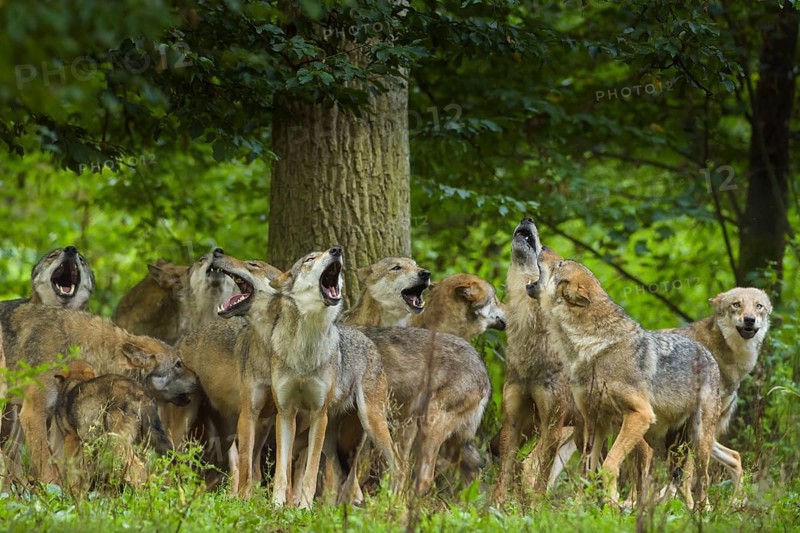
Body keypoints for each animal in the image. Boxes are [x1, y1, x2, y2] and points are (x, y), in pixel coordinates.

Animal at [493, 218, 572, 503]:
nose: (527, 218)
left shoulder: (552, 423)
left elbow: (538, 474)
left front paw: (536, 507)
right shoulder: (513, 418)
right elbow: (505, 471)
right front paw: (498, 507)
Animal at [527, 246, 721, 507]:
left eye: (561, 264)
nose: (545, 247)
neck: (592, 348)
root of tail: (707, 353)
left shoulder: (639, 415)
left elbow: (609, 465)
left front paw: (611, 504)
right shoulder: (595, 422)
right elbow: (588, 471)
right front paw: (581, 507)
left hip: (696, 441)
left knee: (701, 480)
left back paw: (700, 512)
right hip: (662, 446)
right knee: (680, 484)